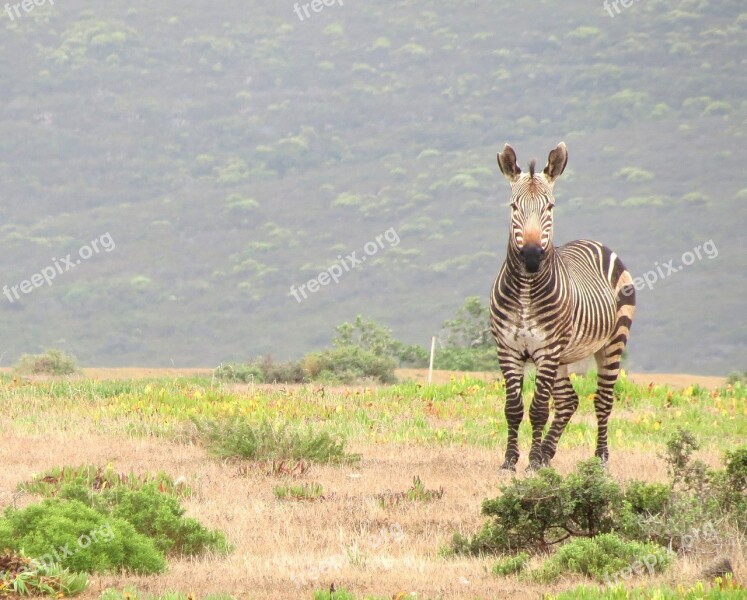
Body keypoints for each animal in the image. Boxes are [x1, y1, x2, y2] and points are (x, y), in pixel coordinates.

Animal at [490, 143, 636, 472]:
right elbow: (513, 408)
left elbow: (539, 409)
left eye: (550, 207)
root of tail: (595, 242)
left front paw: (531, 462)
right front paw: (509, 462)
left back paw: (600, 458)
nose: (532, 256)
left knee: (603, 400)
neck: (526, 291)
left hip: (610, 343)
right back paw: (548, 454)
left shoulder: (547, 349)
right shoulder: (508, 349)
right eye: (513, 207)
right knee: (569, 400)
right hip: (563, 356)